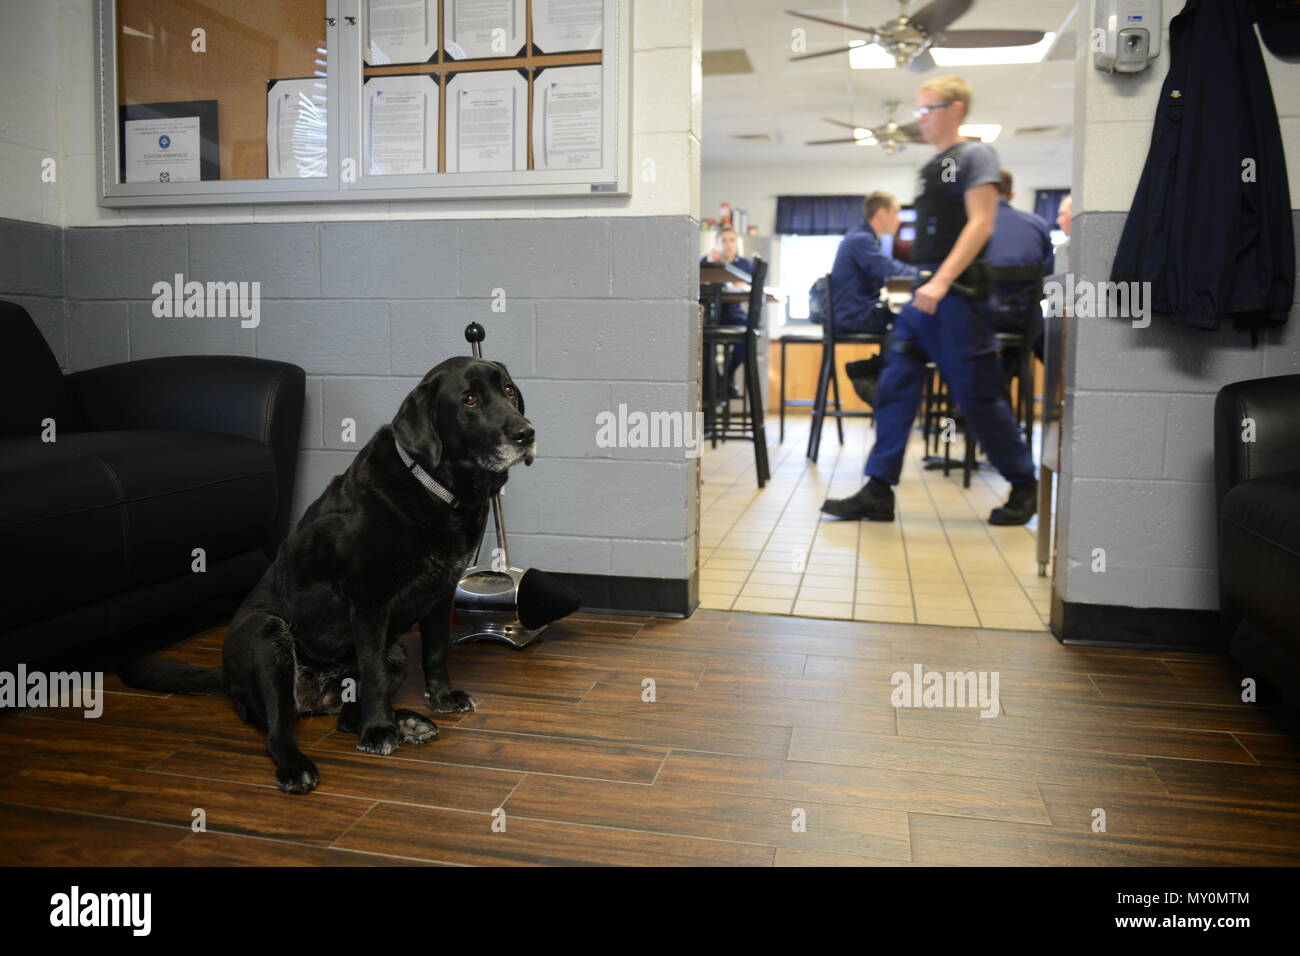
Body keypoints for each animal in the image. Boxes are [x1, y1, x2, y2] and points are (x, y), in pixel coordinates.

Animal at [118, 356, 533, 790]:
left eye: (508, 391)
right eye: (470, 399)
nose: (527, 433)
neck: (436, 488)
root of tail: (229, 677)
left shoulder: (441, 591)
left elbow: (435, 652)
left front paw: (441, 699)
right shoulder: (369, 601)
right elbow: (374, 674)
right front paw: (379, 732)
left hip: (395, 651)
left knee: (348, 713)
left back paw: (405, 722)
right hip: (267, 636)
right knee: (278, 729)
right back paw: (303, 763)